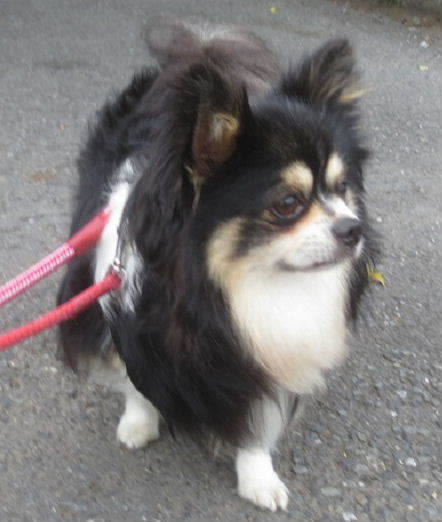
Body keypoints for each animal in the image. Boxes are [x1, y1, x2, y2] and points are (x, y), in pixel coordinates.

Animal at [57, 21, 377, 511]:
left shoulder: (264, 361)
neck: (235, 288)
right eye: (288, 203)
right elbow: (134, 381)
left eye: (343, 189)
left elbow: (257, 423)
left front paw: (258, 477)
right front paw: (139, 423)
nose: (352, 228)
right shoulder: (127, 320)